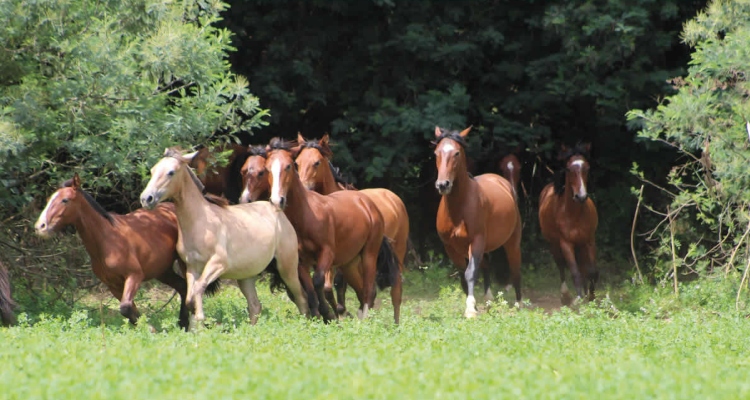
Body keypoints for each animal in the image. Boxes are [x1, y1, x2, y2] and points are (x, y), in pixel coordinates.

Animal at [34, 173, 220, 330]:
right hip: (162, 270)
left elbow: (125, 307)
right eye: (49, 199)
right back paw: (182, 324)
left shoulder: (134, 276)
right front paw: (148, 328)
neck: (108, 239)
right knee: (182, 287)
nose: (40, 226)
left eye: (65, 200)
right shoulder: (113, 285)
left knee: (191, 289)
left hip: (184, 263)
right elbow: (129, 308)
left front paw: (150, 329)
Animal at [142, 147, 310, 324]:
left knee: (301, 298)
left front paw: (201, 320)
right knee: (255, 306)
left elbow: (198, 290)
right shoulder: (192, 268)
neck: (201, 222)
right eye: (153, 170)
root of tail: (277, 210)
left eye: (171, 172)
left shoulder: (218, 264)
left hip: (287, 267)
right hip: (246, 276)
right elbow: (190, 298)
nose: (146, 198)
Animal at [266, 139, 406, 324]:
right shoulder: (301, 260)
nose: (277, 200)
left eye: (289, 166)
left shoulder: (327, 254)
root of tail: (368, 203)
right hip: (350, 263)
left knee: (375, 290)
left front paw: (328, 314)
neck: (307, 215)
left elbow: (319, 281)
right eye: (267, 168)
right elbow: (310, 290)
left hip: (371, 254)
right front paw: (320, 316)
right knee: (362, 291)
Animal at [434, 126, 524, 318]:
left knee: (515, 269)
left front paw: (470, 310)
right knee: (486, 265)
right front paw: (474, 307)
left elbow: (470, 273)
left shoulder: (476, 241)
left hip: (512, 242)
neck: (458, 208)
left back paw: (519, 303)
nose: (443, 184)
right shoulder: (450, 247)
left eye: (457, 153)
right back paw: (488, 299)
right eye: (436, 153)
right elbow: (462, 276)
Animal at [536, 144, 604, 304]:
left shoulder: (589, 241)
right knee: (561, 266)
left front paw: (591, 296)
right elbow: (575, 272)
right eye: (568, 169)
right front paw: (577, 299)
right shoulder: (566, 243)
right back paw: (565, 295)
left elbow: (592, 271)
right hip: (554, 244)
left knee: (583, 268)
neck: (574, 215)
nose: (581, 196)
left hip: (580, 245)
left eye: (587, 168)